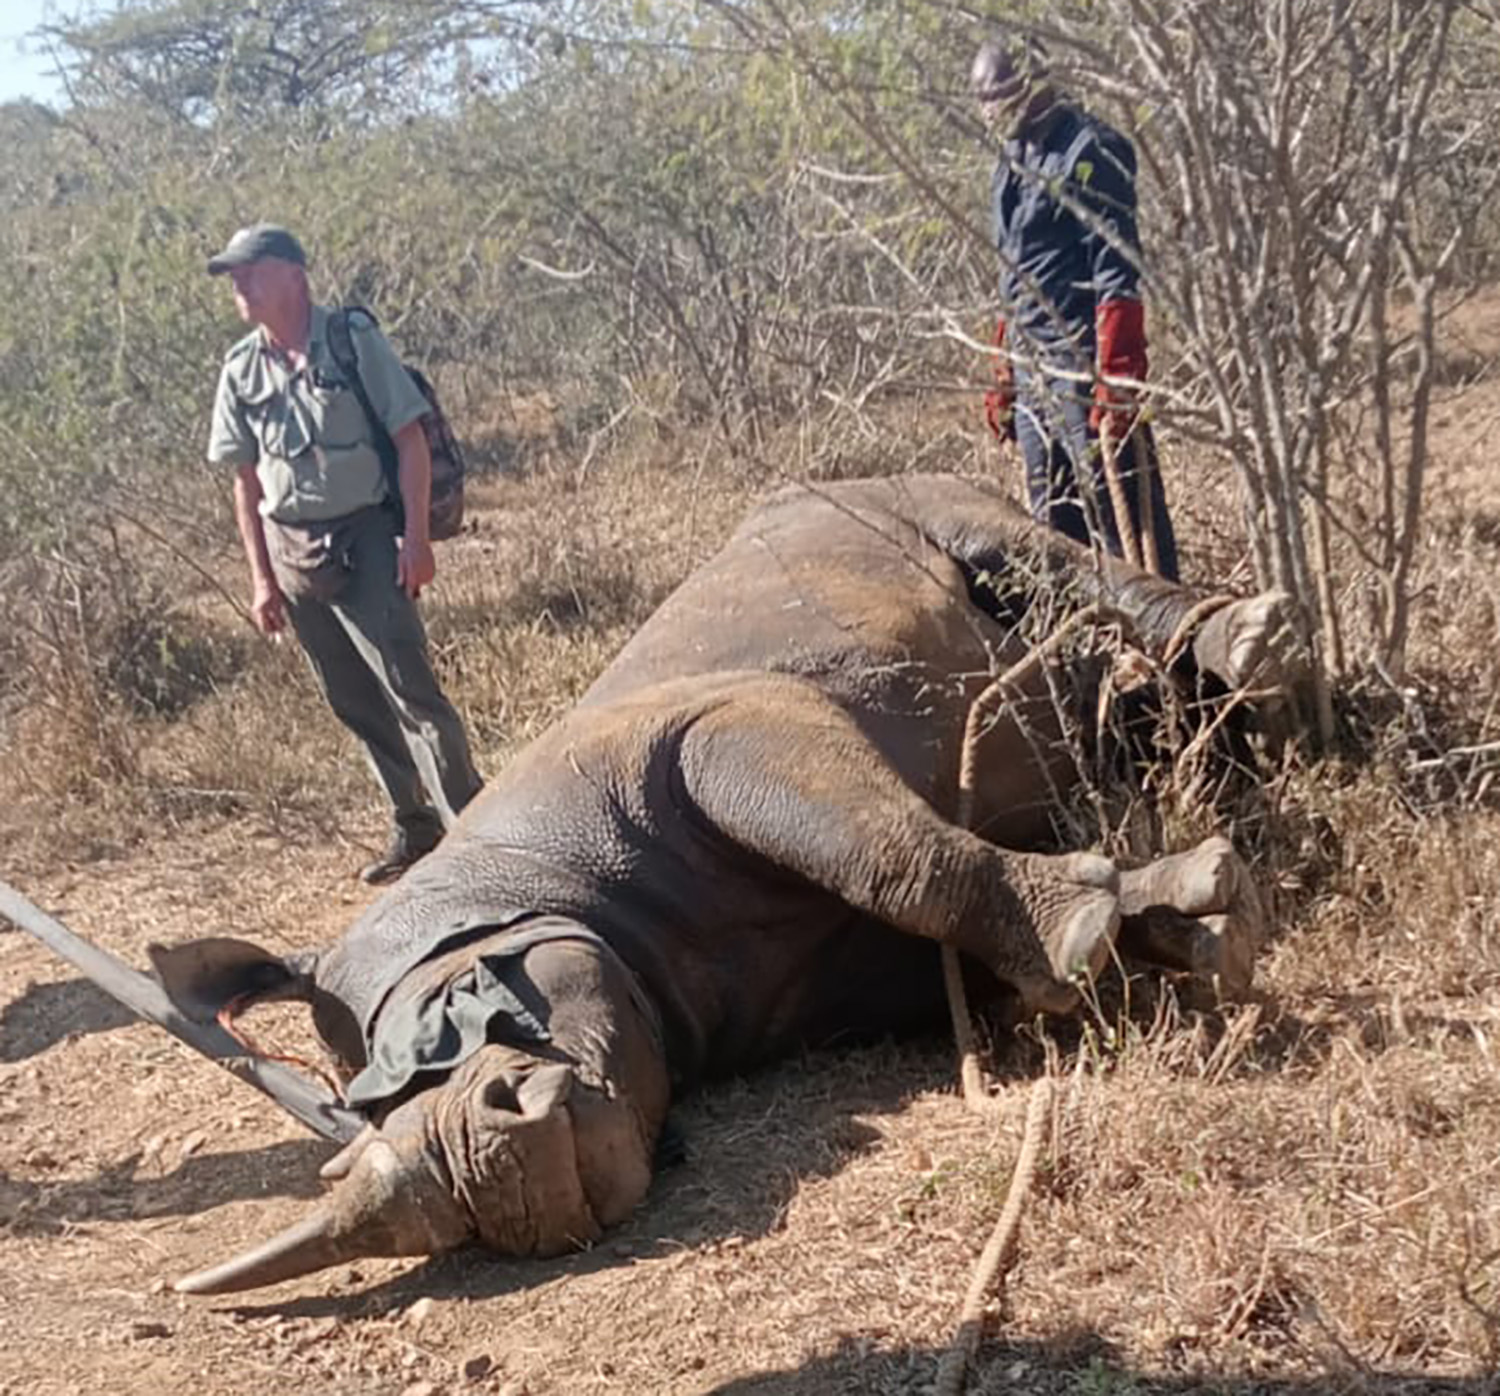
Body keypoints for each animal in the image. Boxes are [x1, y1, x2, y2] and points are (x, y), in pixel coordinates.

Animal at [150, 472, 1289, 1295]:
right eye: (372, 1105)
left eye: (451, 1017)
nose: (489, 1179)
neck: (510, 878)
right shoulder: (800, 982)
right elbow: (950, 938)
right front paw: (1184, 921)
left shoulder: (717, 727)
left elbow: (887, 852)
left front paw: (1095, 929)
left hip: (879, 493)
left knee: (1013, 546)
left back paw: (1260, 651)